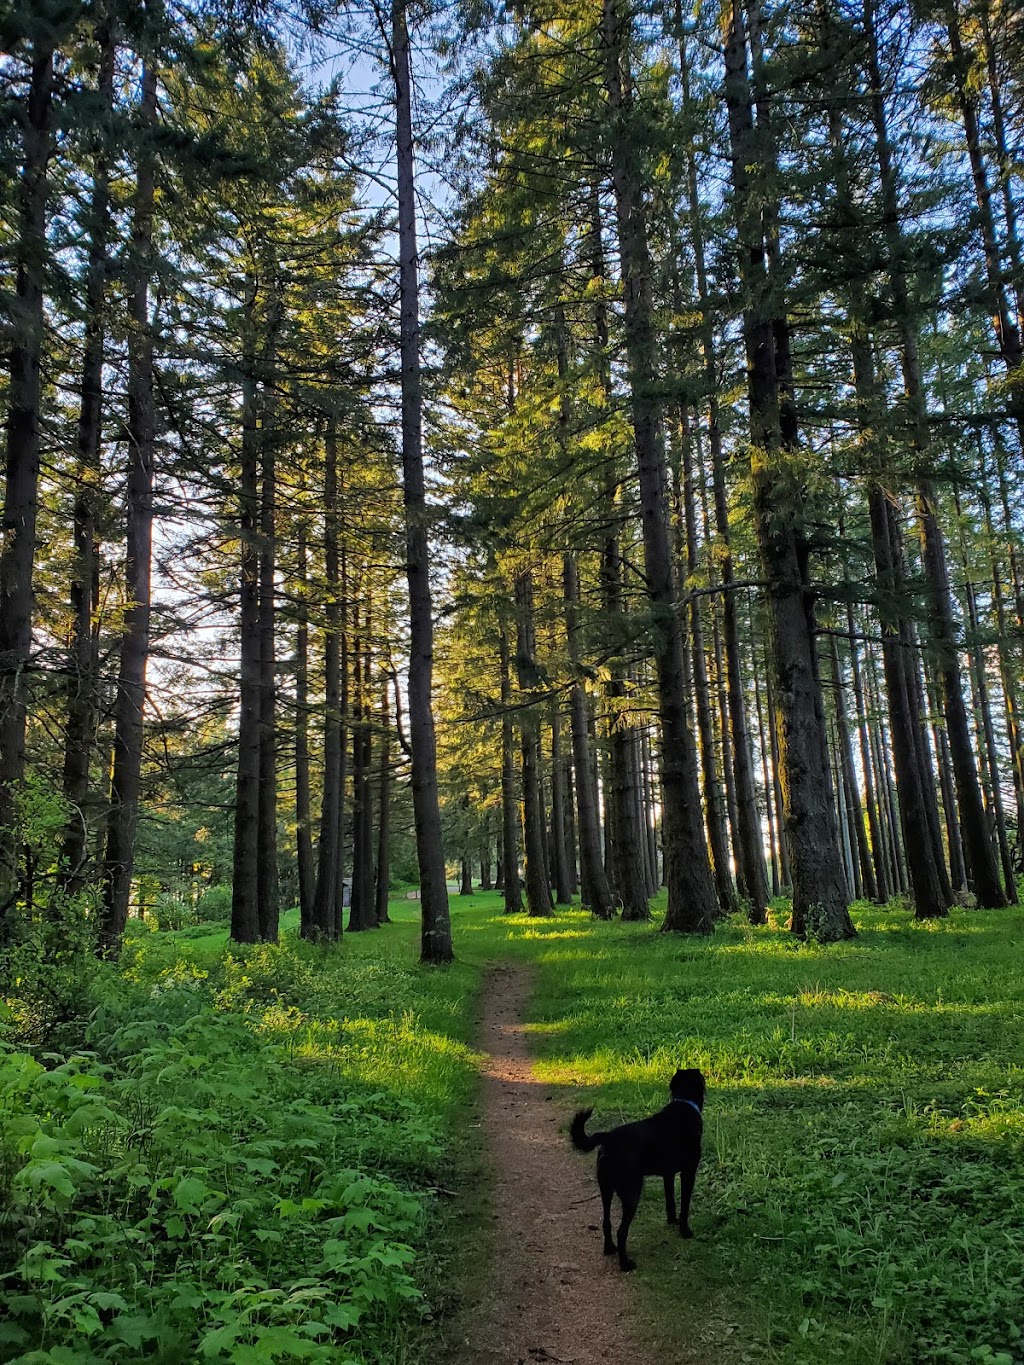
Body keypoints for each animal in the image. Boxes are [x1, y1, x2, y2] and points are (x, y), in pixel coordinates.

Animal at [570, 1064, 704, 1266]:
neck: (685, 1103)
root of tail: (608, 1138)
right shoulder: (688, 1172)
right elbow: (684, 1206)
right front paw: (684, 1231)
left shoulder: (668, 1174)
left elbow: (670, 1200)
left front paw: (672, 1221)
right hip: (631, 1192)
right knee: (621, 1231)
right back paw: (625, 1264)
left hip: (606, 1188)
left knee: (606, 1222)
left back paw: (610, 1249)